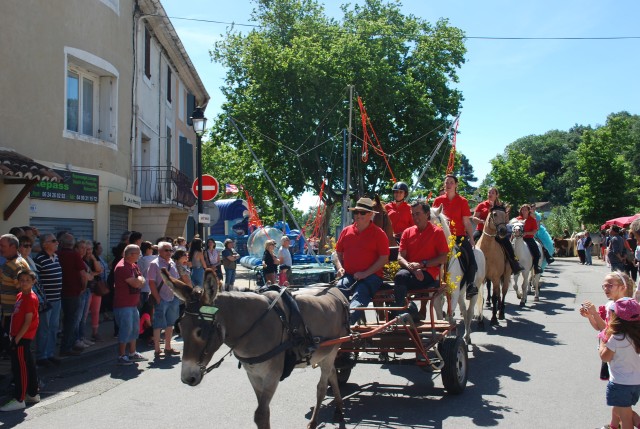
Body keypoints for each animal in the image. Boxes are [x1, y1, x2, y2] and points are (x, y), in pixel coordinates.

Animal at [162, 270, 348, 428]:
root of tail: (337, 291)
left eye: (201, 331)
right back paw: (339, 409)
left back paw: (315, 421)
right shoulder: (253, 374)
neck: (256, 326)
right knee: (332, 374)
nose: (187, 378)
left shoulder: (272, 375)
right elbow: (262, 413)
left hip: (331, 351)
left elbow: (261, 414)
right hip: (323, 355)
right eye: (180, 327)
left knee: (321, 387)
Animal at [430, 206, 484, 342]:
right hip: (460, 293)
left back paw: (467, 336)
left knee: (469, 312)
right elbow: (440, 318)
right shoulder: (436, 296)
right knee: (464, 310)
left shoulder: (453, 293)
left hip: (473, 290)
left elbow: (449, 318)